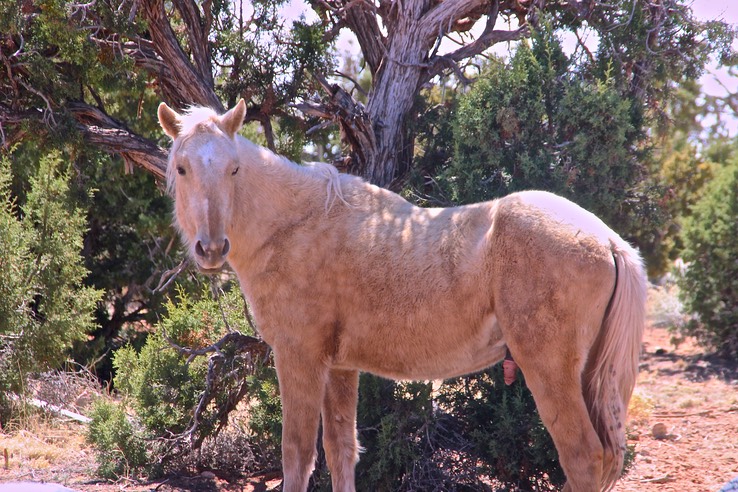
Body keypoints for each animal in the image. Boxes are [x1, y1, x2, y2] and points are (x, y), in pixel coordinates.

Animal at [157, 100, 644, 492]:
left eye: (233, 169)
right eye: (183, 168)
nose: (211, 248)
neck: (293, 225)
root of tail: (607, 239)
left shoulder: (298, 356)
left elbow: (297, 457)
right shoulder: (340, 367)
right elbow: (341, 450)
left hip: (550, 371)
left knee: (582, 459)